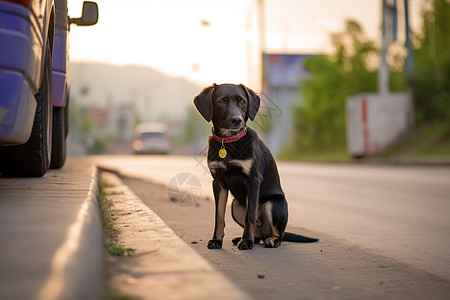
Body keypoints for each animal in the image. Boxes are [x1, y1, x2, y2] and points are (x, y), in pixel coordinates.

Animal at [193, 83, 316, 250]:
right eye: (221, 102)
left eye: (242, 102)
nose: (237, 120)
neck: (229, 142)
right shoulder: (218, 182)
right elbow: (219, 216)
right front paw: (216, 240)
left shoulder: (253, 180)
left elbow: (250, 216)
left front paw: (246, 242)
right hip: (236, 206)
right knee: (258, 235)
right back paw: (244, 238)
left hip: (272, 204)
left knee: (279, 234)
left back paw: (270, 240)